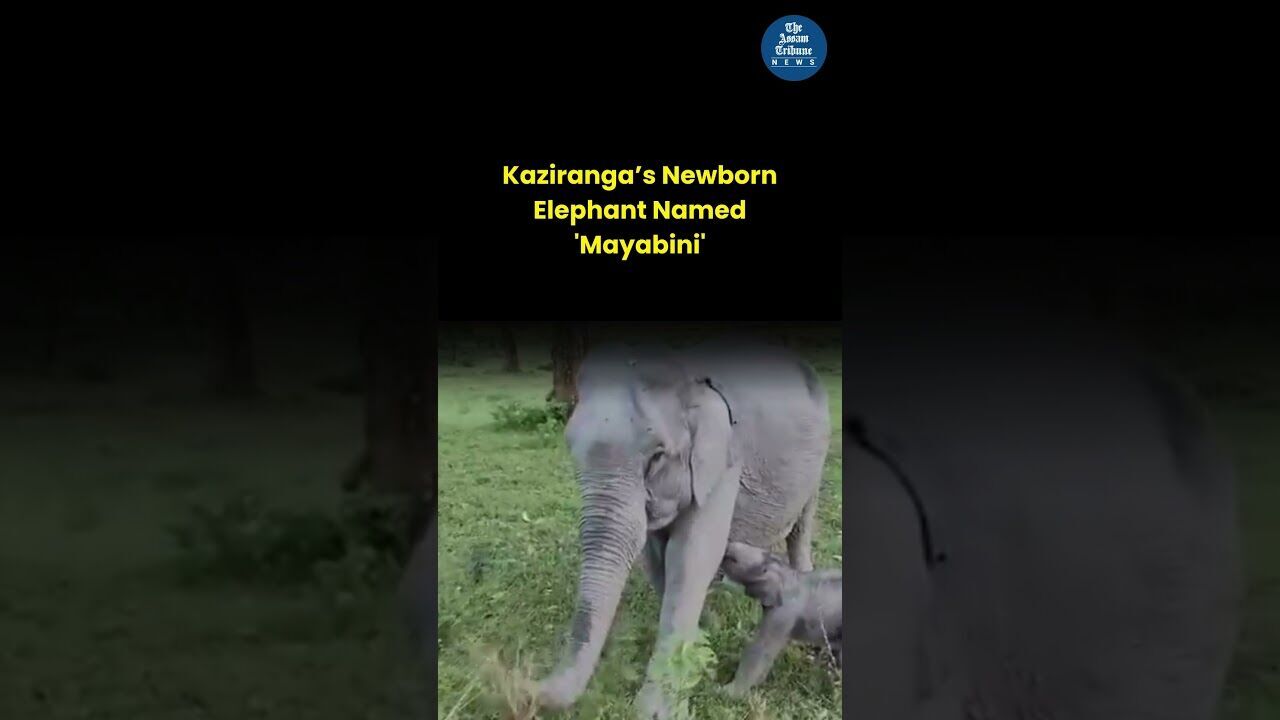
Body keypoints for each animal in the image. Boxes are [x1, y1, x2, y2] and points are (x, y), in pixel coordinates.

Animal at [534, 339, 831, 718]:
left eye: (657, 456)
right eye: (570, 449)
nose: (532, 689)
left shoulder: (725, 457)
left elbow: (692, 554)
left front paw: (657, 710)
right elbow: (657, 556)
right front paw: (703, 633)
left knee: (802, 526)